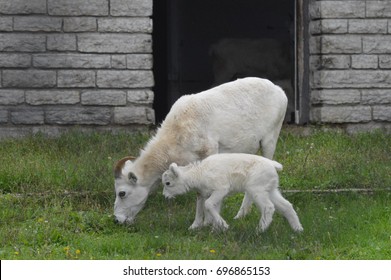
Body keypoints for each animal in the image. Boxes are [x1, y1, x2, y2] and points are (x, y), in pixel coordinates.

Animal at [113, 77, 288, 225]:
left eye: (122, 193)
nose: (117, 220)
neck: (177, 133)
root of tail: (279, 90)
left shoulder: (210, 154)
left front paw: (209, 222)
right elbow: (199, 192)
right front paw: (197, 224)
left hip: (270, 141)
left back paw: (240, 215)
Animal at [162, 153, 304, 232]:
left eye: (168, 183)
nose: (164, 196)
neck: (198, 174)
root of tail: (274, 165)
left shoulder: (220, 189)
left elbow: (208, 205)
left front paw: (224, 226)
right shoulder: (209, 194)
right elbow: (208, 208)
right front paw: (213, 229)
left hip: (257, 189)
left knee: (268, 207)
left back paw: (260, 230)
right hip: (270, 189)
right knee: (286, 206)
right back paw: (298, 230)